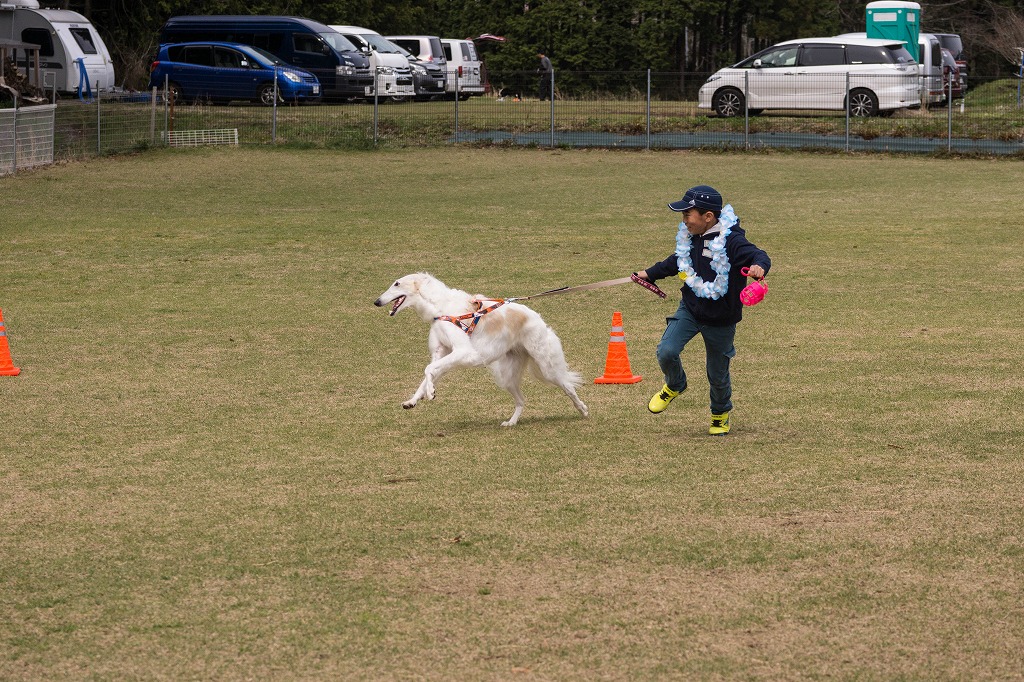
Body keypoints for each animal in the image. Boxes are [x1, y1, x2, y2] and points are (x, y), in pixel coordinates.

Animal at [376, 272, 589, 425]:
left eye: (396, 283)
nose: (376, 301)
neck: (440, 308)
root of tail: (539, 319)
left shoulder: (463, 352)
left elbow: (428, 370)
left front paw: (430, 393)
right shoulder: (441, 353)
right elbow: (428, 373)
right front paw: (413, 400)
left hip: (546, 368)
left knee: (568, 386)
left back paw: (583, 409)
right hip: (506, 376)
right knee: (521, 400)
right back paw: (511, 423)